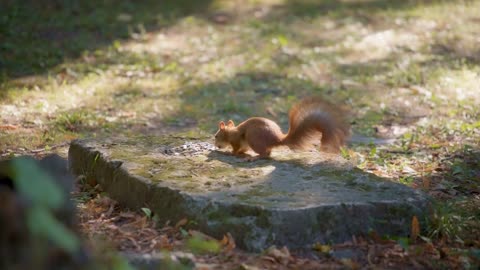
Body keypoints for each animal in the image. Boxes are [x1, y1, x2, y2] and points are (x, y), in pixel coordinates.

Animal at [214, 97, 348, 160]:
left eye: (216, 136)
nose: (216, 146)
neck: (230, 132)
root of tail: (276, 139)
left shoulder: (236, 140)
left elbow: (235, 149)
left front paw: (229, 153)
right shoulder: (244, 145)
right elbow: (242, 150)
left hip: (253, 138)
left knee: (266, 154)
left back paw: (254, 158)